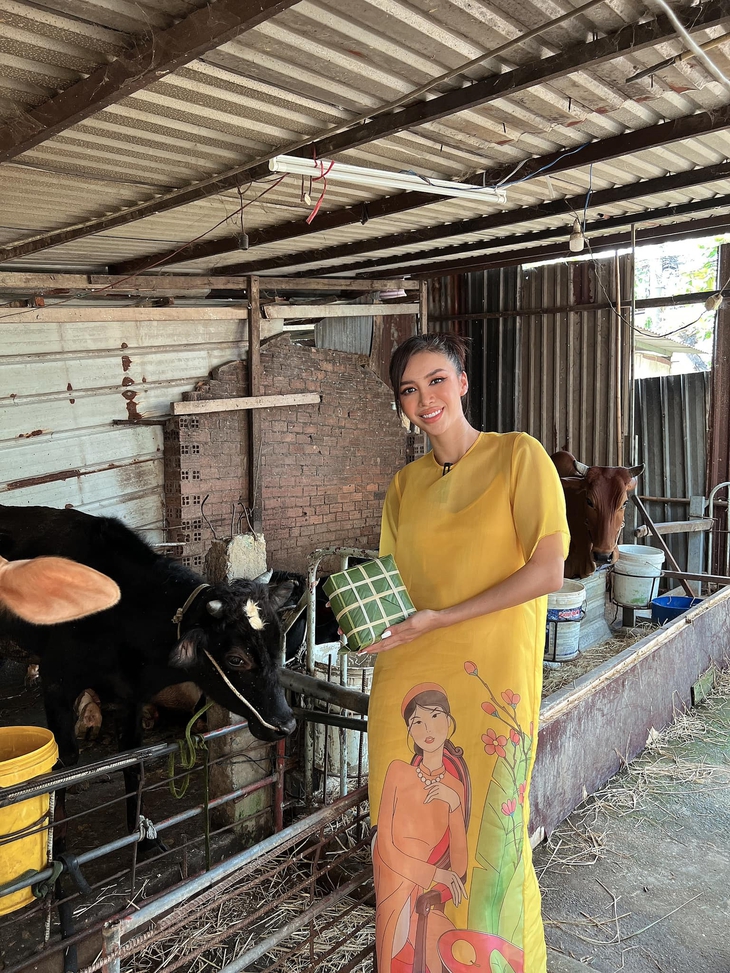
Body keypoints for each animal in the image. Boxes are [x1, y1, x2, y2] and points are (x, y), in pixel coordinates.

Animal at [0, 504, 296, 847]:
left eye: (279, 641)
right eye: (236, 659)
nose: (286, 724)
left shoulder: (130, 694)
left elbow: (132, 760)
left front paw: (141, 840)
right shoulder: (57, 684)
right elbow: (63, 764)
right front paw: (57, 843)